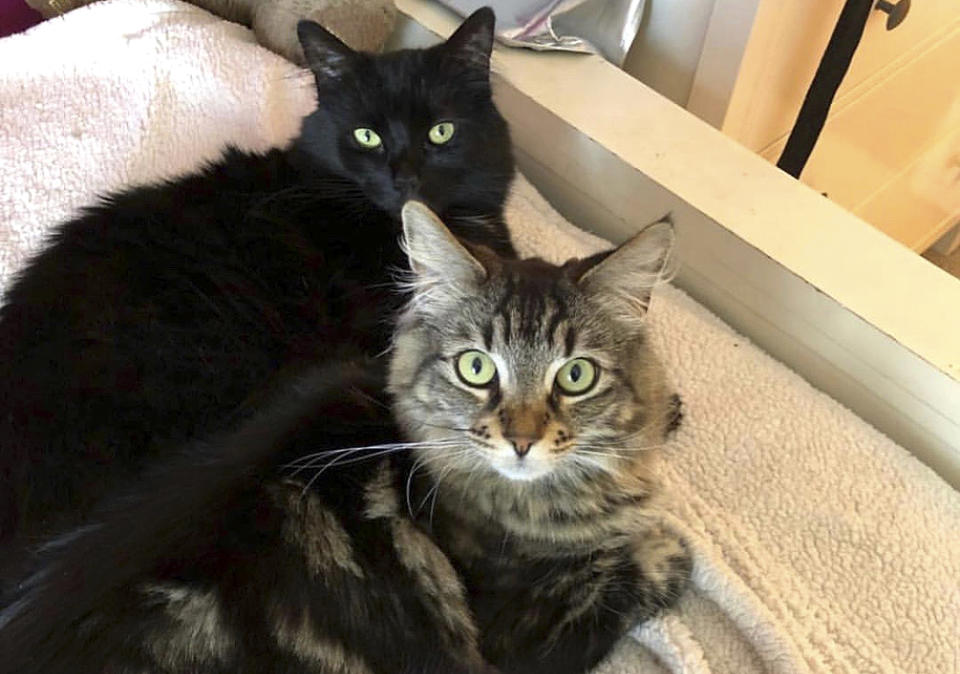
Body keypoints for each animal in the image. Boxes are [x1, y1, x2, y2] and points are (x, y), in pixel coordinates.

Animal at [0, 202, 688, 672]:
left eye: (575, 376)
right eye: (476, 368)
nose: (522, 440)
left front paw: (668, 416)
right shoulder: (519, 636)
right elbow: (647, 566)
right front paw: (666, 546)